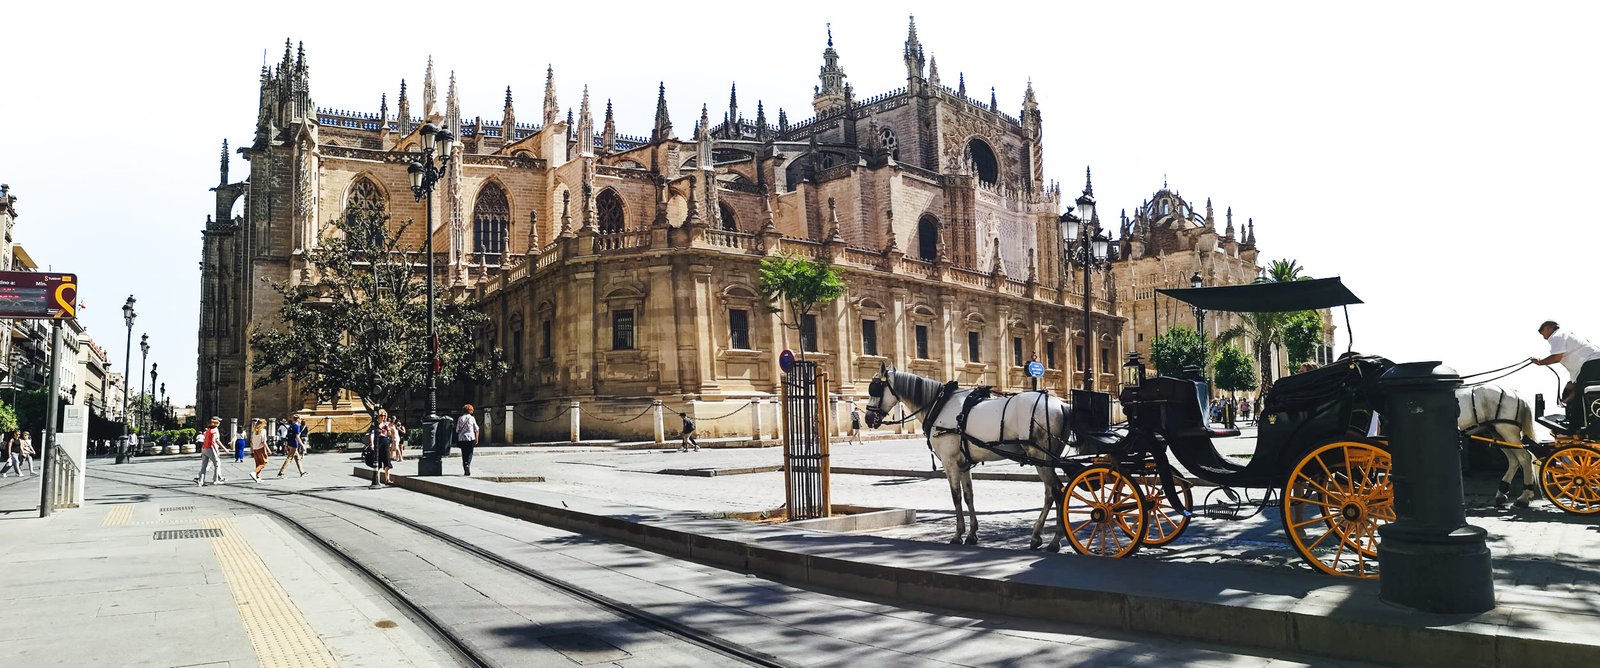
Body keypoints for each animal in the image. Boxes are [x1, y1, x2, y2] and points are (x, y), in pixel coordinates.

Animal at [864, 367, 1075, 549]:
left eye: (875, 389)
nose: (867, 418)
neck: (939, 404)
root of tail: (1061, 403)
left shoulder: (949, 462)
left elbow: (956, 496)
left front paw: (958, 534)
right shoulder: (964, 463)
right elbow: (968, 496)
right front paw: (972, 534)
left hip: (1039, 456)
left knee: (1057, 492)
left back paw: (1054, 540)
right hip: (1048, 459)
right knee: (1050, 492)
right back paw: (1038, 535)